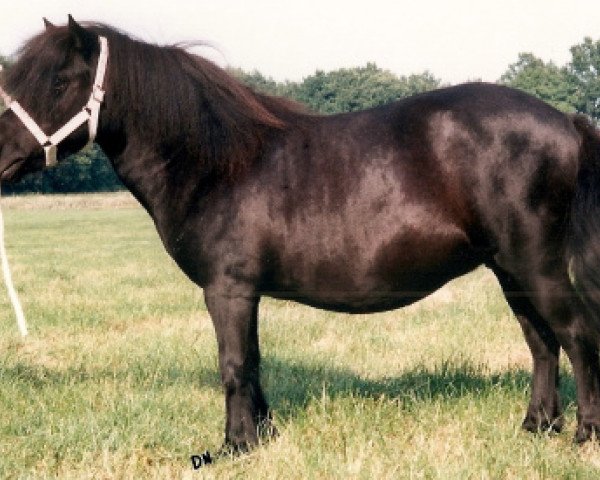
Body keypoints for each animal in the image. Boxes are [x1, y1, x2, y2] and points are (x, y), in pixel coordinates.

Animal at [1, 16, 600, 452]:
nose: (2, 156)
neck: (218, 163)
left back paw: (582, 434)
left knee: (575, 335)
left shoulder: (227, 289)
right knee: (542, 343)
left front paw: (234, 446)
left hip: (535, 265)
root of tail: (564, 120)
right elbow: (253, 362)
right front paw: (262, 436)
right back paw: (536, 427)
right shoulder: (245, 292)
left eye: (59, 81)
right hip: (508, 268)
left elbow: (235, 364)